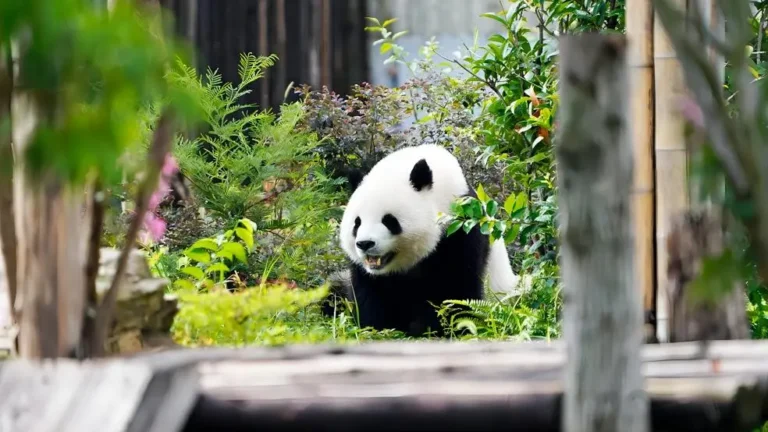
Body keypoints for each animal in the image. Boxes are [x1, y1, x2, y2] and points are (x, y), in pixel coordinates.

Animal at [323, 144, 520, 337]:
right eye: (357, 223)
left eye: (389, 221)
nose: (365, 244)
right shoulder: (366, 272)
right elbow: (369, 293)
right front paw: (379, 328)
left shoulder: (461, 230)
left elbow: (454, 289)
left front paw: (430, 329)